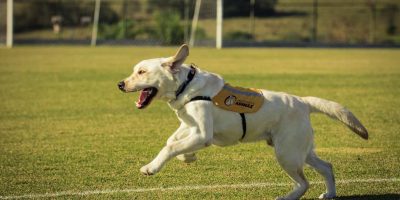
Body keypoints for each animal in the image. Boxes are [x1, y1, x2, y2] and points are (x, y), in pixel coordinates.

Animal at [117, 44, 368, 199]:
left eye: (141, 72)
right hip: (300, 151)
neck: (185, 86)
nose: (120, 84)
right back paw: (330, 193)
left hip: (287, 154)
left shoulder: (202, 133)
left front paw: (151, 167)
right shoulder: (189, 125)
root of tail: (303, 102)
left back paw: (285, 197)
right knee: (327, 167)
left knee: (304, 183)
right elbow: (173, 141)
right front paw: (188, 156)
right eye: (134, 71)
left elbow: (170, 146)